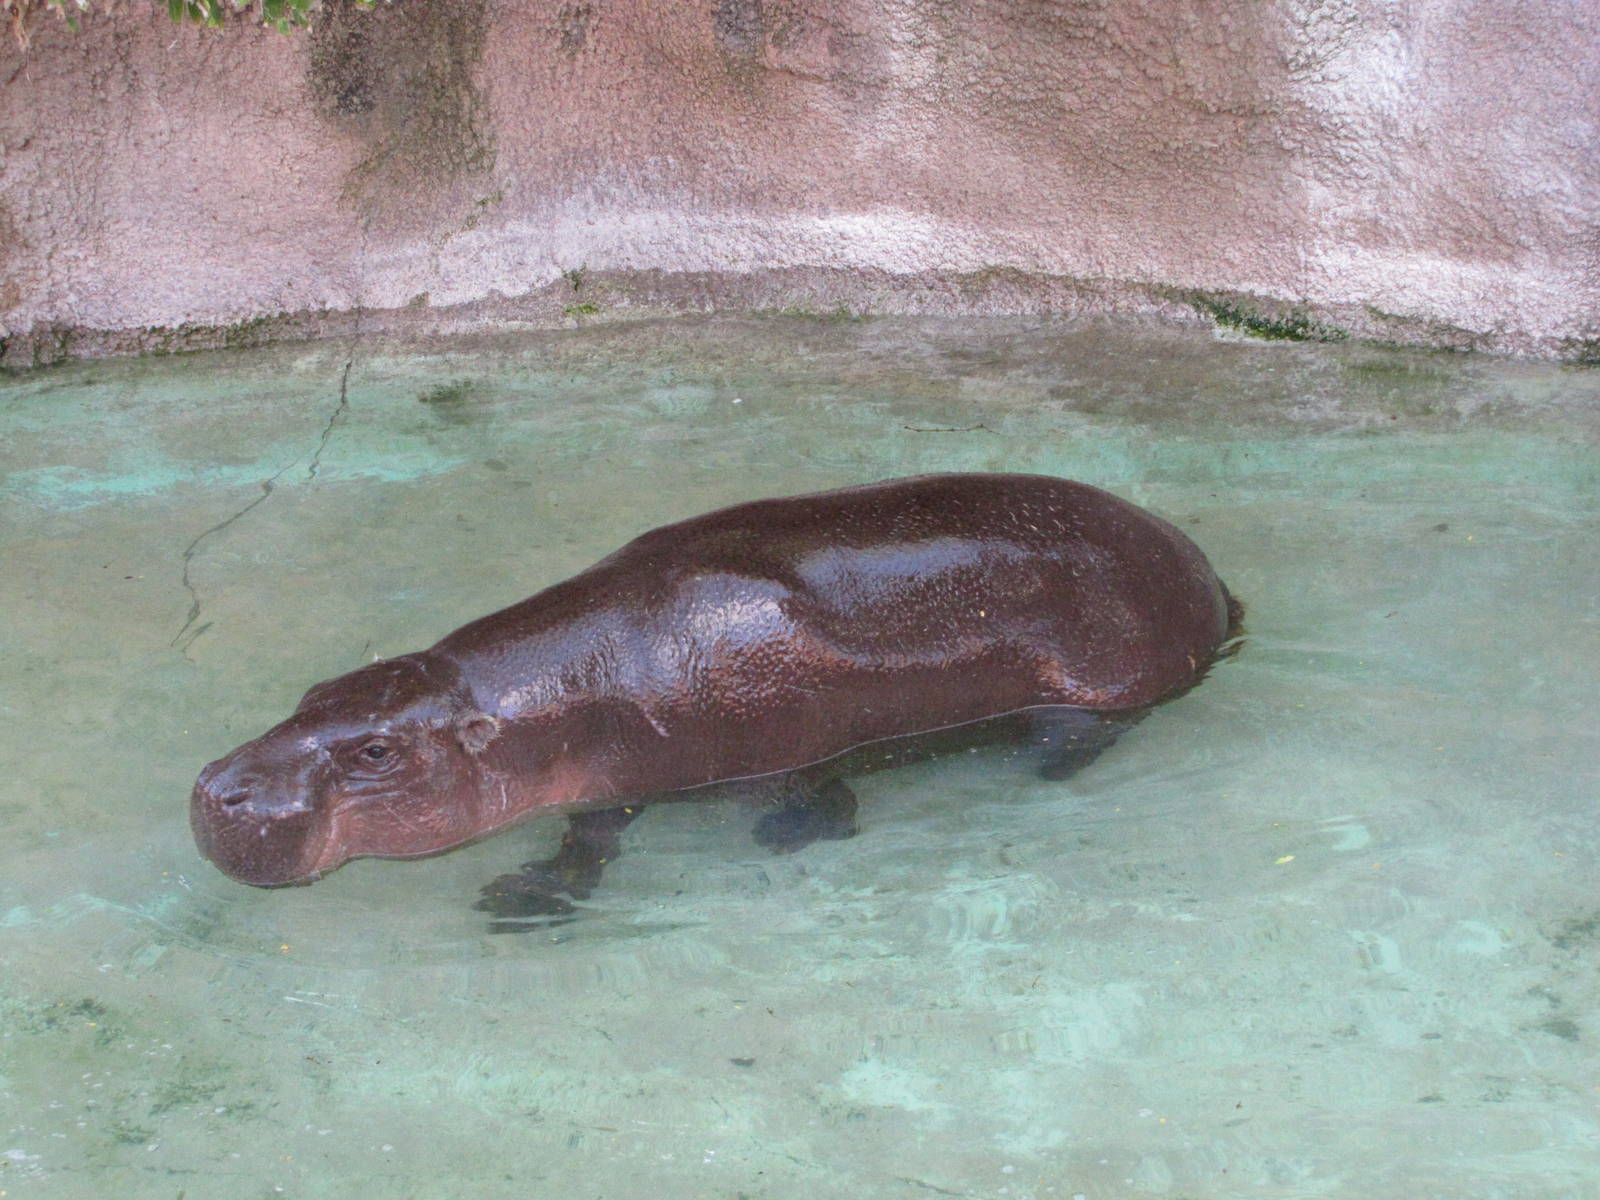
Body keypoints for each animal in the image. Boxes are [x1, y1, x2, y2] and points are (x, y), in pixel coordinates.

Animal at [191, 473, 1240, 920]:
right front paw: (527, 893)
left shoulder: (772, 743)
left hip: (1105, 672)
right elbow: (591, 837)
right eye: (315, 691)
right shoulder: (615, 778)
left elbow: (820, 803)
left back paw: (1049, 767)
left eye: (378, 750)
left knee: (1094, 729)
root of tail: (1207, 576)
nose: (217, 790)